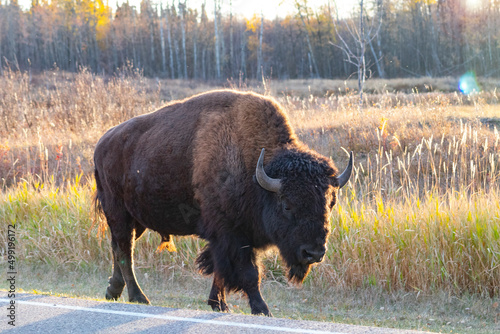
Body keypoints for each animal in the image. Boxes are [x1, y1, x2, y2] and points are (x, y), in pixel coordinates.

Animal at [93, 89, 352, 316]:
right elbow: (248, 273)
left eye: (330, 204)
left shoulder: (230, 237)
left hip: (137, 220)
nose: (313, 252)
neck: (254, 170)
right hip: (118, 213)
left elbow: (220, 270)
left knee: (119, 247)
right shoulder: (231, 234)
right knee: (125, 251)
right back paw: (139, 297)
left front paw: (219, 304)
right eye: (287, 205)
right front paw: (261, 309)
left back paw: (113, 291)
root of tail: (102, 142)